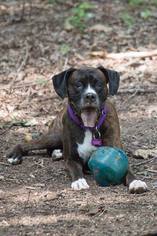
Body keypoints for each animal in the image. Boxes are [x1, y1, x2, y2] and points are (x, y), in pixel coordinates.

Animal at [7, 65, 147, 193]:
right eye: (78, 85)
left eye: (99, 84)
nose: (90, 96)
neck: (90, 127)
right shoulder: (71, 159)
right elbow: (75, 169)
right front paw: (79, 181)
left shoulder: (118, 152)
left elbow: (128, 170)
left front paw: (136, 181)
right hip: (55, 136)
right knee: (29, 144)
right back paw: (15, 155)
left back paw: (57, 152)